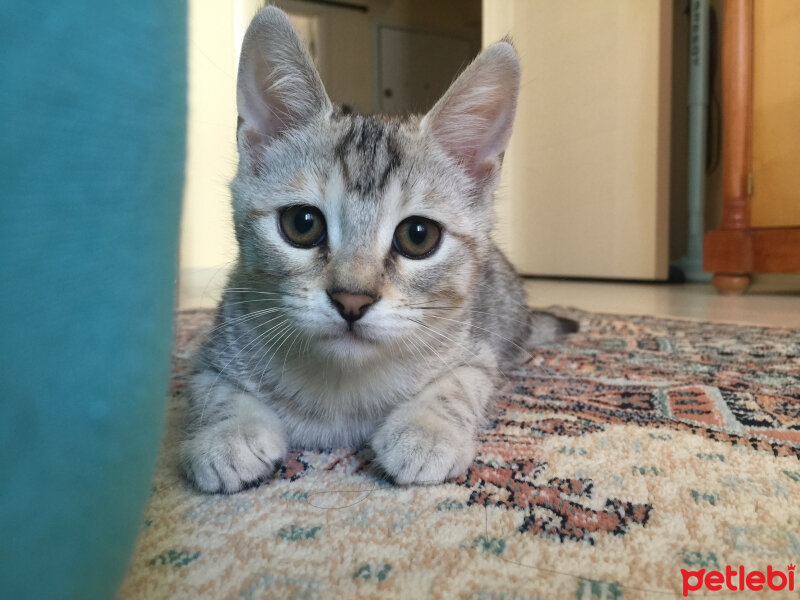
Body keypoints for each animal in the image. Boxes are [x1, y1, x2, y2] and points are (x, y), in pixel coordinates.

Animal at [180, 5, 576, 492]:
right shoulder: (212, 350)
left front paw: (425, 430)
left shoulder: (476, 352)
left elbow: (460, 384)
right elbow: (213, 389)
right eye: (302, 225)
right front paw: (228, 434)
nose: (352, 300)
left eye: (418, 236)